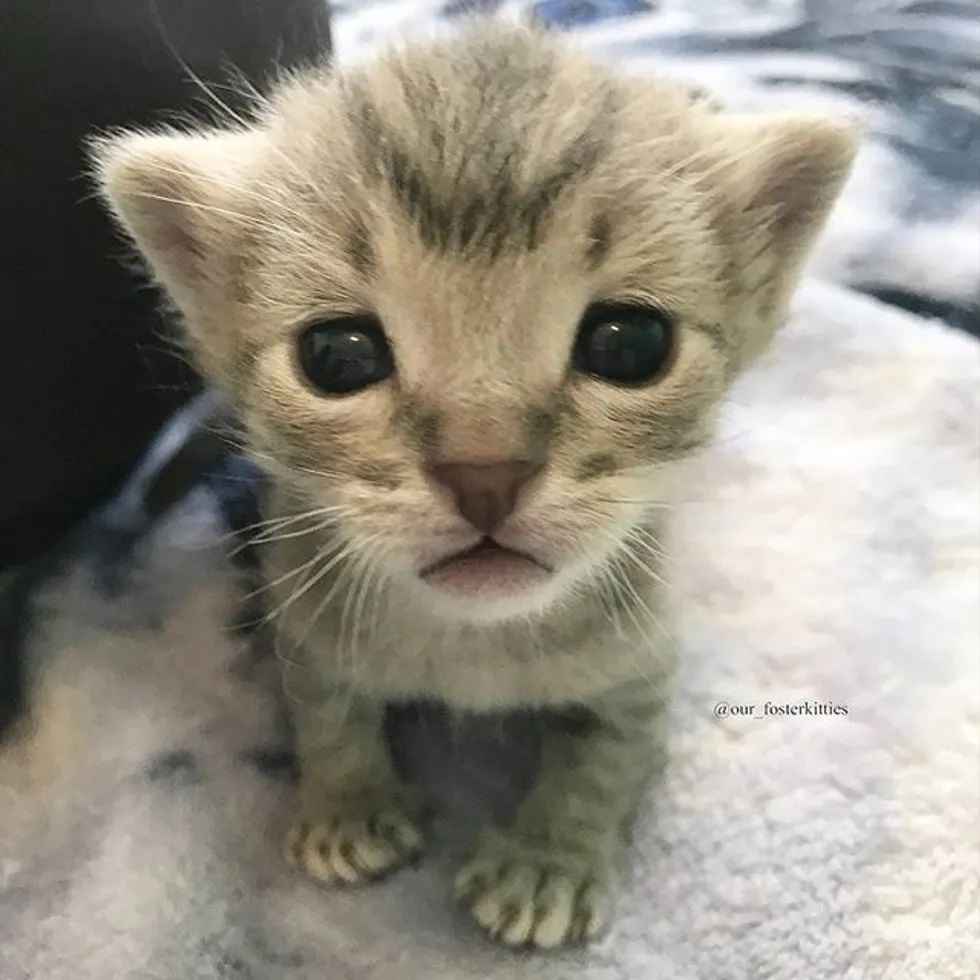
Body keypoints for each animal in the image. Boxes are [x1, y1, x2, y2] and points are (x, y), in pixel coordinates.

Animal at [94, 21, 856, 948]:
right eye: (337, 355)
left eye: (629, 342)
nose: (485, 476)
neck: (473, 643)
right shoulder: (304, 621)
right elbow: (325, 710)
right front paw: (347, 803)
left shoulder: (645, 660)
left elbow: (606, 757)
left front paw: (547, 860)